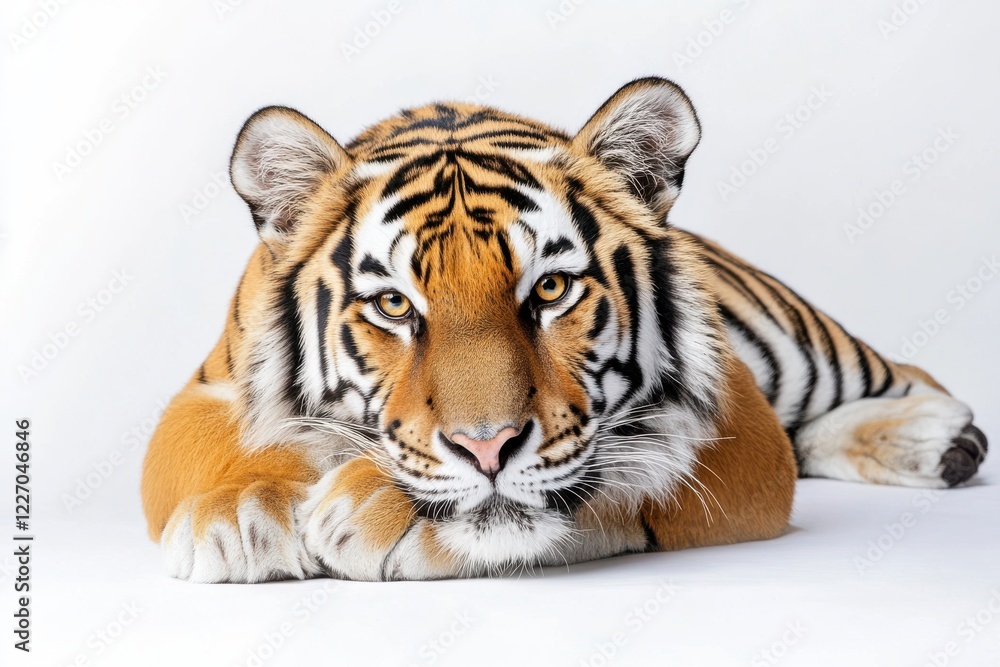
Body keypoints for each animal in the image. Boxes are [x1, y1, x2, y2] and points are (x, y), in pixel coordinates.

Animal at [141, 77, 987, 583]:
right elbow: (213, 448)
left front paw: (371, 508)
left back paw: (938, 440)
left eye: (549, 290)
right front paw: (243, 514)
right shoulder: (204, 389)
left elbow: (620, 469)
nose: (486, 448)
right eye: (394, 307)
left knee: (907, 378)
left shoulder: (737, 424)